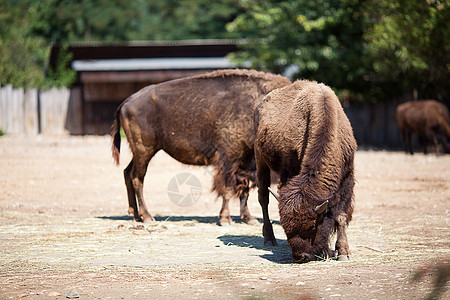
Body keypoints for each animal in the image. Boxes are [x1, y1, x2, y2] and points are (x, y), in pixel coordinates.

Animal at [110, 68, 290, 225]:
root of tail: (126, 102)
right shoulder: (228, 159)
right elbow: (227, 188)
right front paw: (225, 219)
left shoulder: (247, 162)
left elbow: (244, 190)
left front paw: (249, 218)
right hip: (144, 150)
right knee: (137, 178)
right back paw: (147, 217)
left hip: (140, 152)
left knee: (127, 173)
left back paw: (135, 215)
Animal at [255, 79, 356, 262]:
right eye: (285, 227)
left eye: (313, 226)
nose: (300, 256)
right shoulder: (288, 172)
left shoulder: (347, 179)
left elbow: (341, 216)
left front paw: (343, 253)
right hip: (260, 160)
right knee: (263, 199)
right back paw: (269, 239)